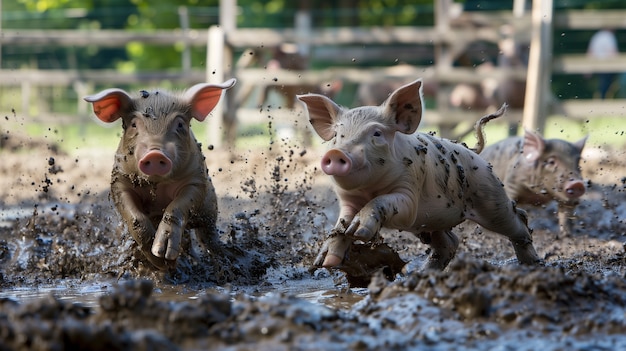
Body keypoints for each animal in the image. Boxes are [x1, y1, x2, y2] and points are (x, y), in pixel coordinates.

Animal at [84, 79, 235, 270]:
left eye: (180, 125)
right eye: (133, 124)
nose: (155, 154)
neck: (158, 187)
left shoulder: (195, 180)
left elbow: (176, 207)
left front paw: (166, 257)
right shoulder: (119, 181)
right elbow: (135, 217)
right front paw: (161, 262)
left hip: (210, 209)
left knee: (207, 236)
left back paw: (224, 256)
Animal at [296, 78, 536, 274]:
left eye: (377, 133)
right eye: (337, 135)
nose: (336, 153)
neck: (369, 190)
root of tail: (472, 150)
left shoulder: (409, 192)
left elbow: (386, 204)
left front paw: (360, 232)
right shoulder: (348, 200)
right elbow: (341, 224)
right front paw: (325, 261)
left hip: (490, 198)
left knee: (519, 219)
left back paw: (532, 264)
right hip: (433, 221)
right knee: (449, 243)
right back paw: (420, 273)